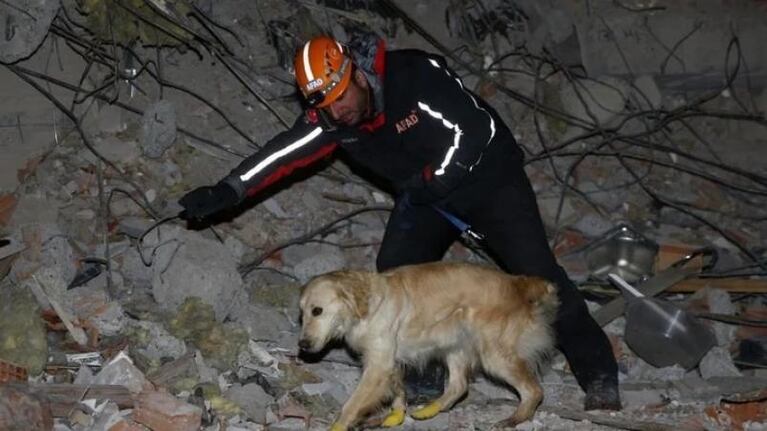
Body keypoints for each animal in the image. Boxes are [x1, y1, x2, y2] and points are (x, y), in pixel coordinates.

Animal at [298, 262, 560, 430]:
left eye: (317, 310)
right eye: (302, 314)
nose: (302, 345)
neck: (369, 304)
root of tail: (519, 284)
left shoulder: (378, 366)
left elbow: (353, 404)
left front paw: (339, 425)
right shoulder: (389, 362)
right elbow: (398, 393)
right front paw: (396, 415)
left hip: (495, 355)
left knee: (533, 390)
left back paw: (513, 420)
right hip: (455, 346)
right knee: (459, 386)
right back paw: (430, 409)